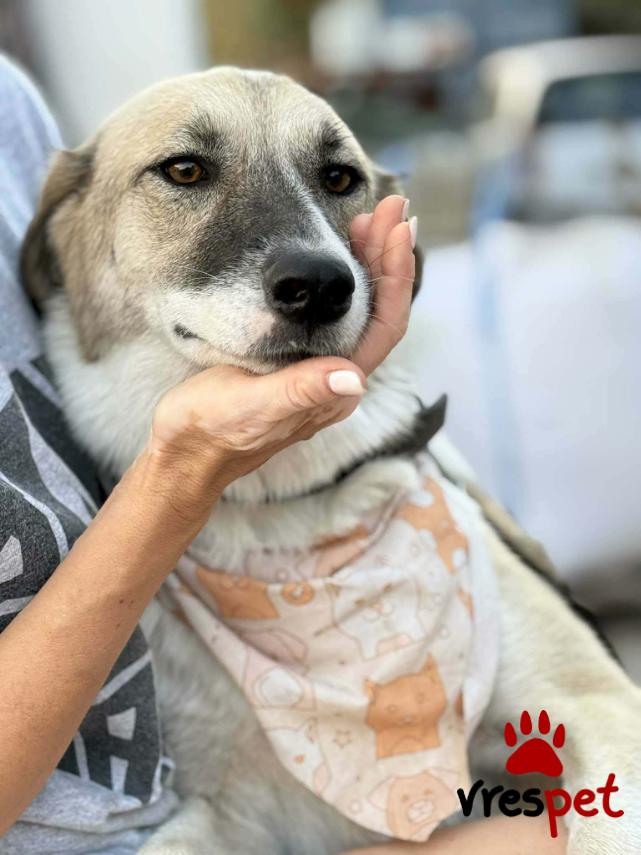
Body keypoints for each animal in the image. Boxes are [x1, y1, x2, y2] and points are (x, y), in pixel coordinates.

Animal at [21, 67, 641, 854]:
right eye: (184, 170)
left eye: (339, 177)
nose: (319, 285)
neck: (280, 511)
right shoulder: (228, 810)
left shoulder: (597, 707)